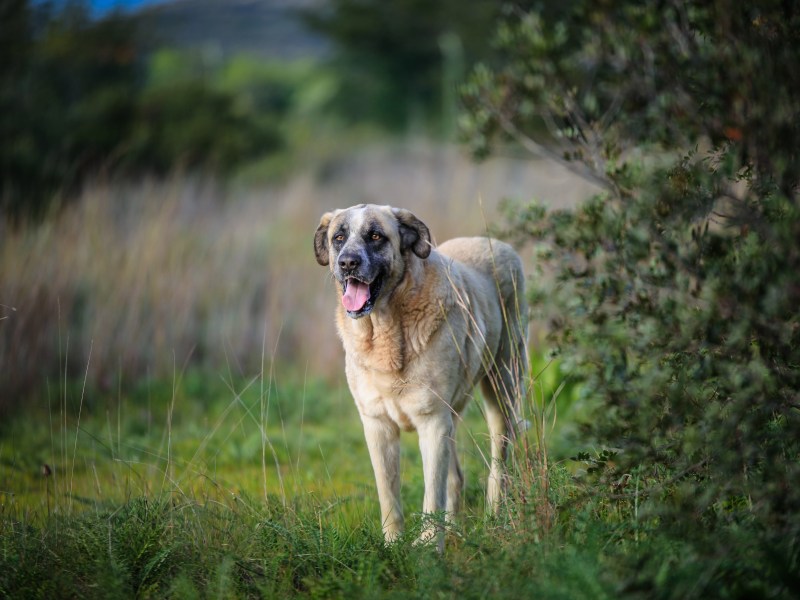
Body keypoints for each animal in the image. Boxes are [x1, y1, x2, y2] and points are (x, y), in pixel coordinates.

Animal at [316, 204, 528, 552]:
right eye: (339, 238)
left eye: (376, 236)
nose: (348, 263)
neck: (386, 330)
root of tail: (498, 244)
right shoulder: (378, 425)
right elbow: (389, 494)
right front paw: (393, 545)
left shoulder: (433, 423)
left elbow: (432, 494)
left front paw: (429, 547)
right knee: (455, 477)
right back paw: (454, 530)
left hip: (502, 388)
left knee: (499, 463)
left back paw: (494, 517)